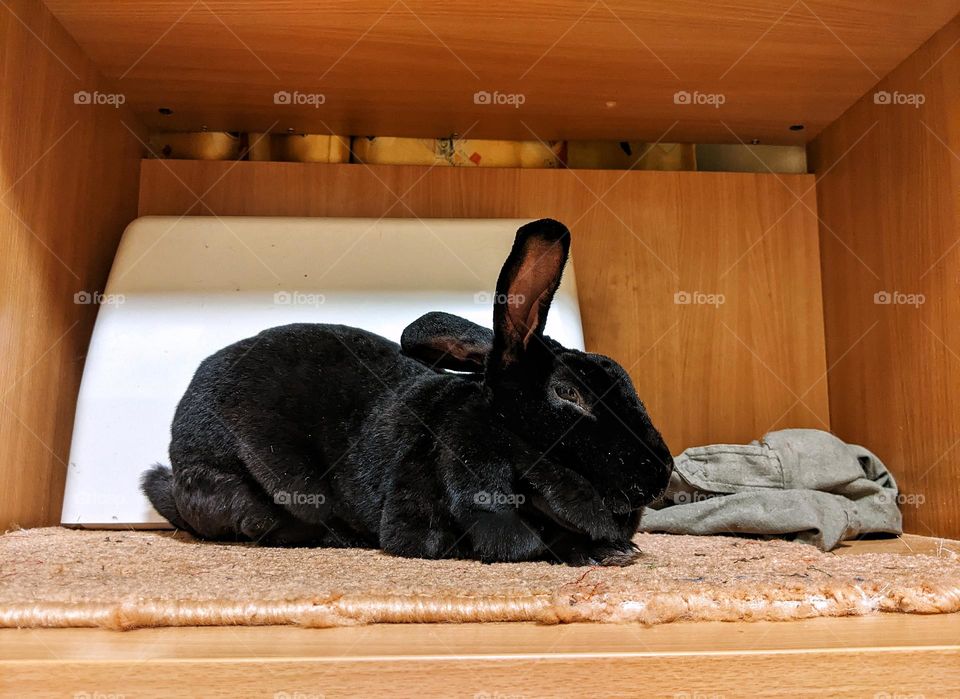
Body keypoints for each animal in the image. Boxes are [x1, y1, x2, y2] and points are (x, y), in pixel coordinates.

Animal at [142, 221, 672, 568]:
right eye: (568, 393)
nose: (661, 474)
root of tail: (174, 455)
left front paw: (621, 547)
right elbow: (530, 544)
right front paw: (606, 552)